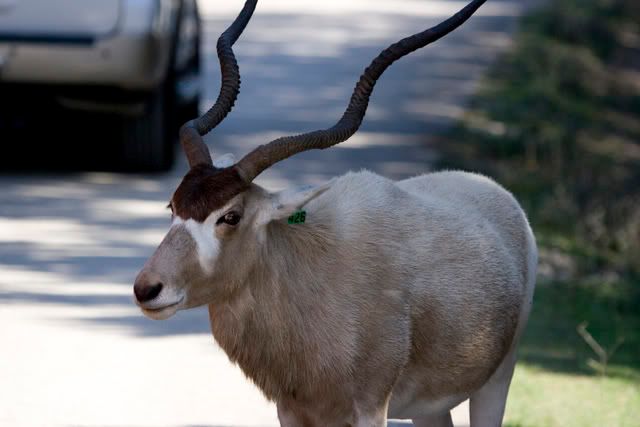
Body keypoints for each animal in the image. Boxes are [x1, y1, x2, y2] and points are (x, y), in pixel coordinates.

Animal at [134, 1, 536, 426]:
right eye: (173, 206)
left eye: (230, 216)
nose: (147, 288)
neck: (308, 270)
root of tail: (494, 191)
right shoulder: (291, 410)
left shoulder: (371, 408)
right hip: (432, 408)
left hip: (497, 379)